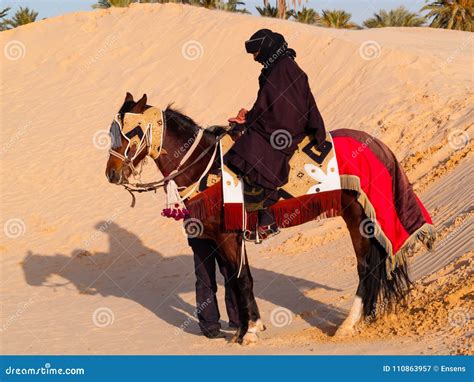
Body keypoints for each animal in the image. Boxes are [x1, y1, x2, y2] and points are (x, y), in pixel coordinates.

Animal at [104, 93, 418, 346]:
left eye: (130, 131)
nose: (111, 174)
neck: (207, 168)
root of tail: (379, 147)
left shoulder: (228, 237)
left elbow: (241, 280)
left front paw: (251, 331)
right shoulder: (225, 238)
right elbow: (237, 279)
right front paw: (242, 329)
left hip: (358, 218)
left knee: (366, 267)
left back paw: (348, 325)